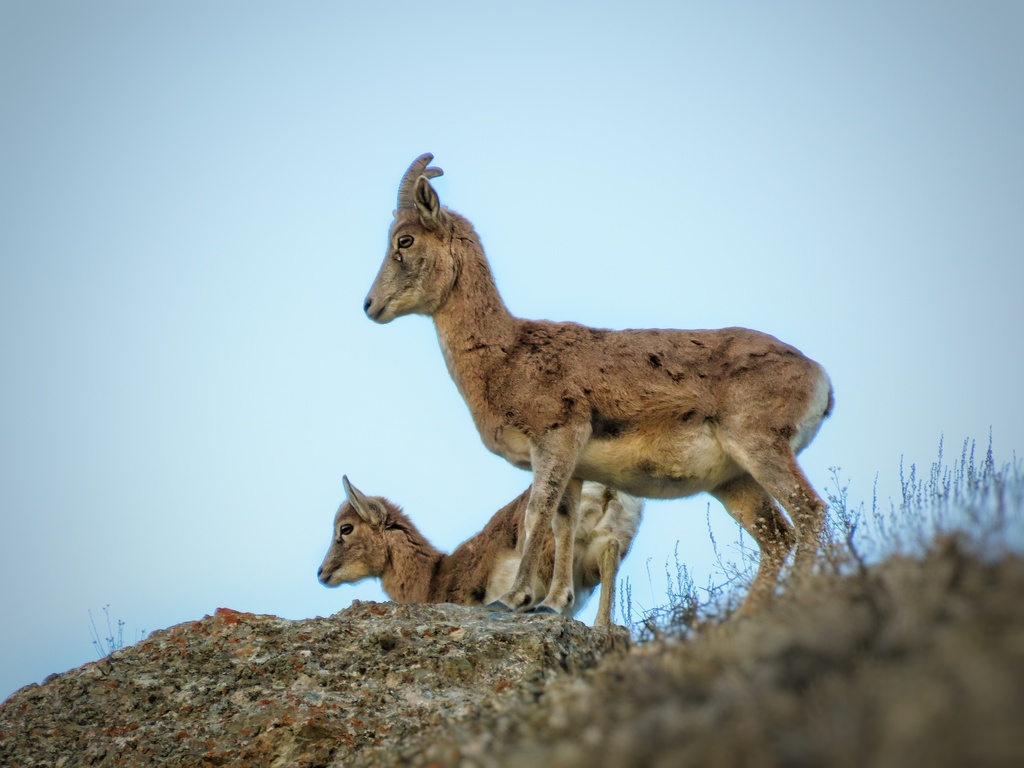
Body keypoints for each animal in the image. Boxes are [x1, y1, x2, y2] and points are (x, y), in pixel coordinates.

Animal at [315, 479, 643, 626]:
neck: (434, 576)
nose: (321, 572)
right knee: (609, 554)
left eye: (345, 528)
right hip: (606, 543)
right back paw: (603, 626)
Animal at [364, 154, 835, 618]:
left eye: (404, 240)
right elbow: (563, 523)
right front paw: (552, 603)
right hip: (733, 482)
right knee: (776, 537)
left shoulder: (555, 440)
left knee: (810, 513)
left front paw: (513, 598)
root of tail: (821, 379)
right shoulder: (573, 466)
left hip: (762, 447)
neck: (507, 353)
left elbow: (536, 515)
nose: (370, 305)